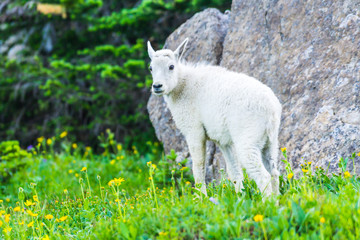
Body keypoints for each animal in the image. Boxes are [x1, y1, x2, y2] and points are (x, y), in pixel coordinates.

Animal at [148, 38, 282, 197]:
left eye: (171, 66)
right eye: (151, 68)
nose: (157, 86)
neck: (182, 86)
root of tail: (271, 111)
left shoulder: (194, 131)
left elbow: (199, 167)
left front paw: (202, 198)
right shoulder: (223, 141)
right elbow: (234, 170)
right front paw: (239, 197)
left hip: (248, 140)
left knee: (263, 175)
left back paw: (267, 202)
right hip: (270, 141)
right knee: (273, 172)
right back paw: (277, 199)